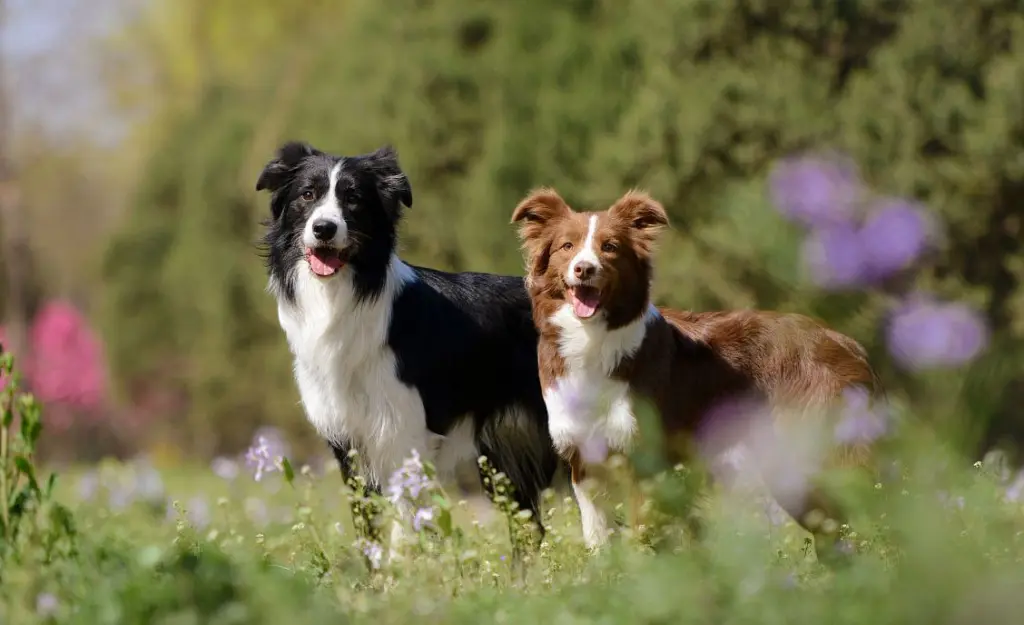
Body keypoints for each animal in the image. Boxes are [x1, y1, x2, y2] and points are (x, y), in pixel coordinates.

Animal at [253, 142, 561, 553]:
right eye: (307, 194)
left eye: (353, 198)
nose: (324, 228)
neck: (344, 297)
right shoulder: (349, 442)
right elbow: (368, 532)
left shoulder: (405, 436)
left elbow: (404, 532)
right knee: (529, 530)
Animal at [507, 184, 884, 553]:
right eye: (567, 246)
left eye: (610, 247)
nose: (584, 269)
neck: (592, 340)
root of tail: (847, 343)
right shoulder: (584, 463)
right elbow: (598, 540)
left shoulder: (647, 461)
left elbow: (643, 535)